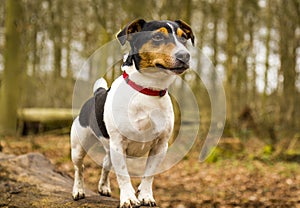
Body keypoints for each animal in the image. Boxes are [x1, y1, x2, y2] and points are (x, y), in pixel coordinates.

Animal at [71, 18, 195, 207]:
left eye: (183, 38)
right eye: (157, 37)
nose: (185, 56)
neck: (147, 91)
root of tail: (97, 93)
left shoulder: (160, 146)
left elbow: (149, 174)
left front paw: (145, 195)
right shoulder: (118, 144)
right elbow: (123, 175)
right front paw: (129, 198)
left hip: (109, 149)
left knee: (106, 164)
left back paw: (103, 187)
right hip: (79, 147)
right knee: (80, 168)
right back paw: (78, 190)